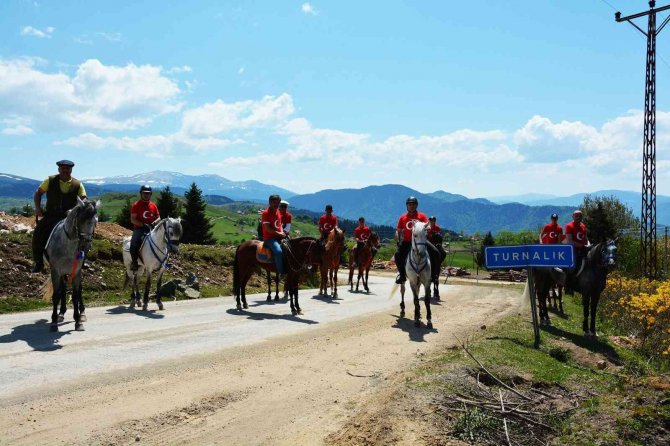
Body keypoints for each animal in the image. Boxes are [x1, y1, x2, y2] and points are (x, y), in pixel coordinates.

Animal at [40, 198, 99, 332]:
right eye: (81, 220)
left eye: (96, 222)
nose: (85, 246)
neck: (67, 246)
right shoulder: (56, 271)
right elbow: (56, 295)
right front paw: (54, 322)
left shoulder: (76, 272)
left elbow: (76, 295)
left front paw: (78, 321)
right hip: (61, 273)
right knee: (62, 288)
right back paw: (61, 313)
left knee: (77, 289)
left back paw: (82, 313)